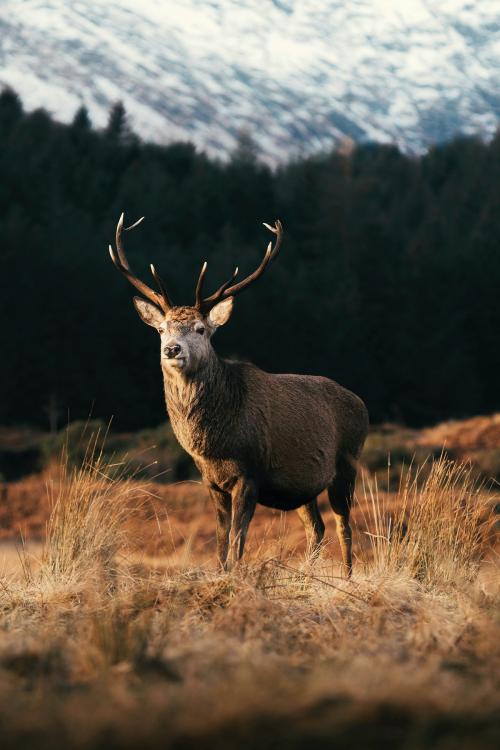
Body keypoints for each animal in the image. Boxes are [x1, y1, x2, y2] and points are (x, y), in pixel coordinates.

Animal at [108, 214, 368, 580]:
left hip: (348, 462)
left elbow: (237, 537)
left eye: (201, 329)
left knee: (344, 523)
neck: (214, 444)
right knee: (316, 527)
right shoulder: (211, 481)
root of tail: (362, 403)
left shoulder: (250, 472)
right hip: (303, 485)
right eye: (161, 329)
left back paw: (346, 576)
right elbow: (219, 538)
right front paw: (220, 574)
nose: (172, 349)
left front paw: (235, 576)